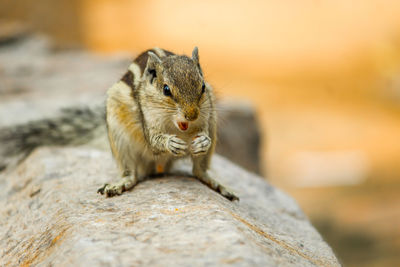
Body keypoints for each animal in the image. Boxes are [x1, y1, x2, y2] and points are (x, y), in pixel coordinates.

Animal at [96, 47, 239, 201]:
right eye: (166, 90)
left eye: (203, 87)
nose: (192, 115)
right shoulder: (148, 120)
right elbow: (154, 141)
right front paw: (171, 143)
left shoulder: (205, 119)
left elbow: (204, 135)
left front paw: (203, 141)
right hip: (119, 138)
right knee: (130, 174)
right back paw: (119, 185)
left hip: (212, 124)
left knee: (199, 171)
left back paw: (219, 186)